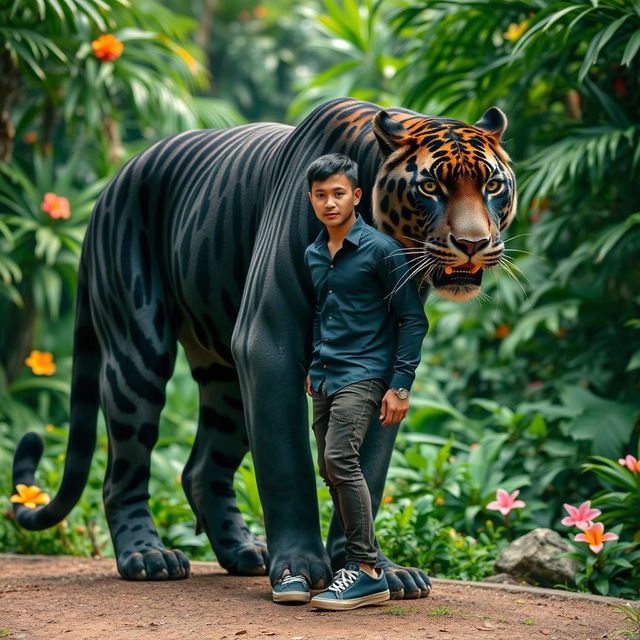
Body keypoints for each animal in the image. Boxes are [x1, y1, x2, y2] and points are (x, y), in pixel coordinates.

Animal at [12, 97, 516, 596]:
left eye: (492, 185)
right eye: (430, 186)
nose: (472, 243)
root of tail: (109, 188)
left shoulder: (386, 358)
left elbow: (366, 473)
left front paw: (377, 570)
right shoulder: (266, 339)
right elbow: (286, 461)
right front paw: (299, 566)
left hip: (225, 381)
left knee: (203, 469)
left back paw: (243, 552)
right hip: (138, 352)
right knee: (124, 468)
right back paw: (147, 556)